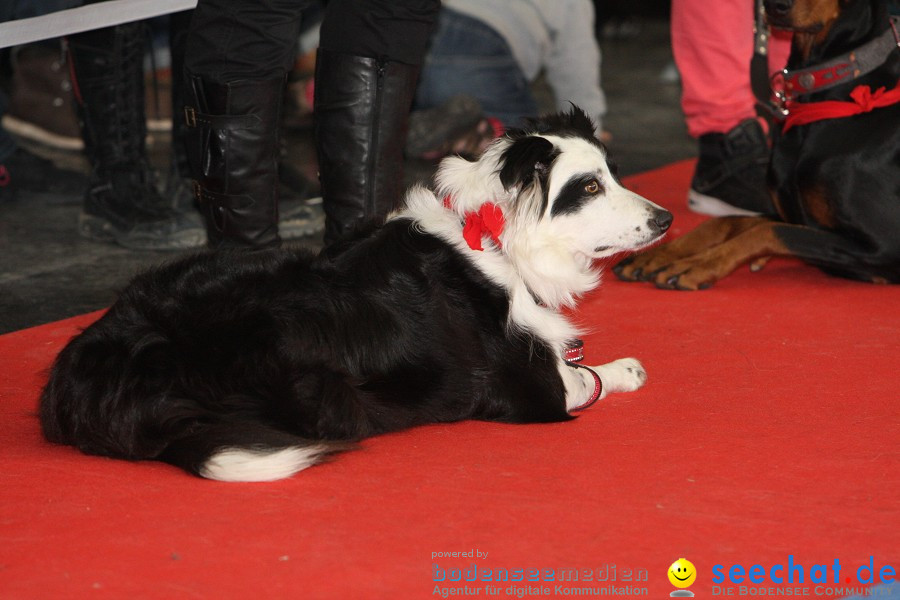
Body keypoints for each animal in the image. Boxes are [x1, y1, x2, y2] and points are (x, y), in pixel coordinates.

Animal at [40, 106, 676, 482]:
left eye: (612, 176)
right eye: (589, 188)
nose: (667, 218)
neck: (496, 238)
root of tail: (85, 376)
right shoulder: (528, 390)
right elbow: (585, 379)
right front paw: (624, 369)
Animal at [616, 0, 900, 290]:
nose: (776, 6)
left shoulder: (885, 246)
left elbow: (767, 231)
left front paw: (696, 265)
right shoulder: (792, 216)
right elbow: (729, 222)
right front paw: (658, 254)